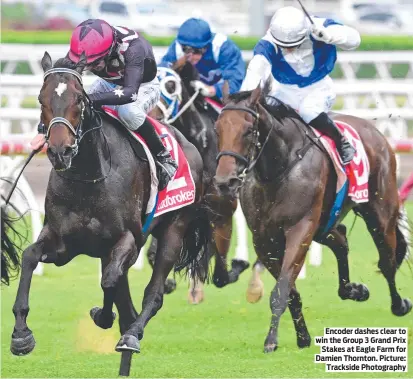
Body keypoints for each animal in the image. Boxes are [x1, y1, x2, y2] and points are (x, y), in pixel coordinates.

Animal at [10, 52, 209, 374]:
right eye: (41, 99)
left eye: (79, 99)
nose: (59, 151)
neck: (89, 176)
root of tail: (187, 143)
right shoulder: (62, 242)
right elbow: (29, 256)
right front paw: (20, 335)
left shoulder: (127, 239)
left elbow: (109, 280)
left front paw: (103, 316)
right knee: (127, 304)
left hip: (175, 228)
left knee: (152, 294)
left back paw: (132, 336)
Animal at [214, 84, 410, 354]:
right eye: (217, 129)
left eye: (248, 130)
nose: (225, 182)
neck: (278, 169)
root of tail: (374, 131)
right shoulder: (264, 240)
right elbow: (290, 291)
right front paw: (303, 337)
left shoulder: (300, 229)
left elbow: (282, 289)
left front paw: (271, 341)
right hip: (325, 224)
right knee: (341, 240)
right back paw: (353, 289)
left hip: (379, 213)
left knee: (387, 260)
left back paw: (399, 304)